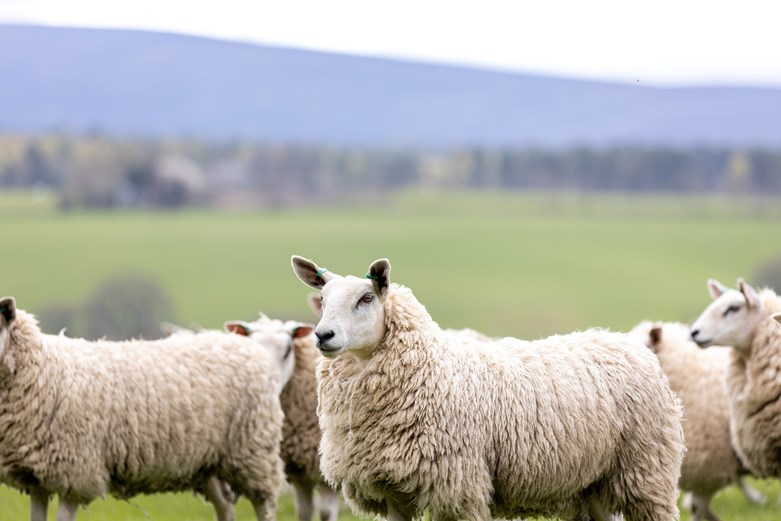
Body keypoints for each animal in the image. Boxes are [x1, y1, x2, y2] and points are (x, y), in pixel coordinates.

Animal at [0, 296, 295, 521]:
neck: (42, 368)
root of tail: (247, 347)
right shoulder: (36, 476)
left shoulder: (75, 474)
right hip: (209, 462)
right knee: (224, 505)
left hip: (254, 451)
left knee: (265, 503)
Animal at [291, 255, 685, 521]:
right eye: (322, 300)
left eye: (366, 299)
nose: (323, 335)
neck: (430, 368)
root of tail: (623, 341)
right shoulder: (393, 492)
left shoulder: (457, 487)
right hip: (593, 484)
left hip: (646, 472)